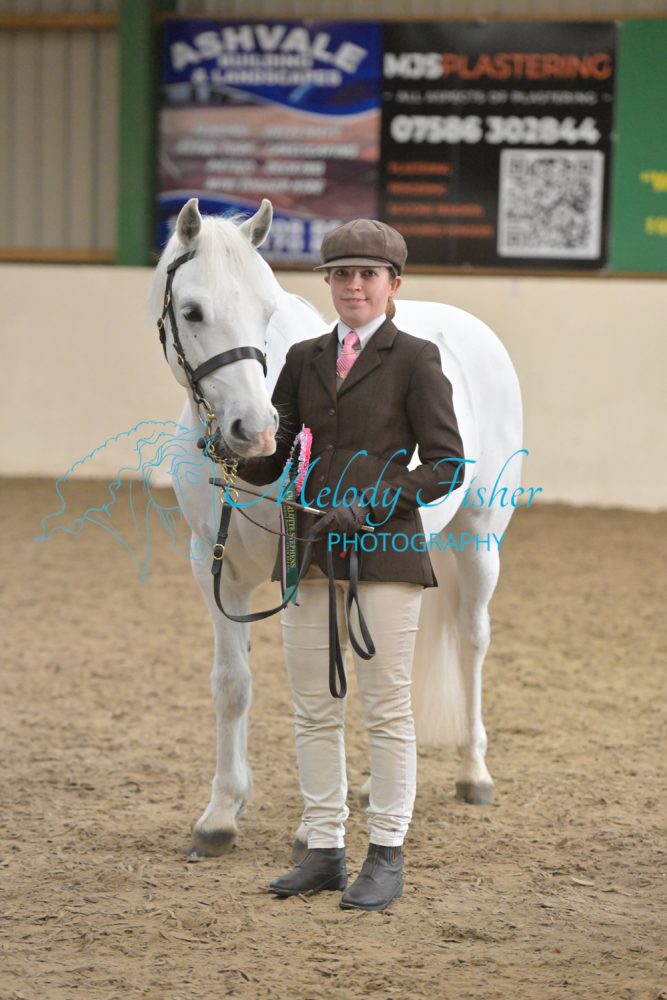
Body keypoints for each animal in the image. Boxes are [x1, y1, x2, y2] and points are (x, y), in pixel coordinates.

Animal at [148, 198, 523, 858]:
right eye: (192, 311)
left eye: (266, 308)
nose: (257, 430)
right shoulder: (214, 569)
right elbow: (232, 684)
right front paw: (220, 814)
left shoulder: (316, 565)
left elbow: (331, 683)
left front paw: (312, 829)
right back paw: (376, 786)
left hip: (480, 539)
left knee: (472, 639)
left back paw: (473, 773)